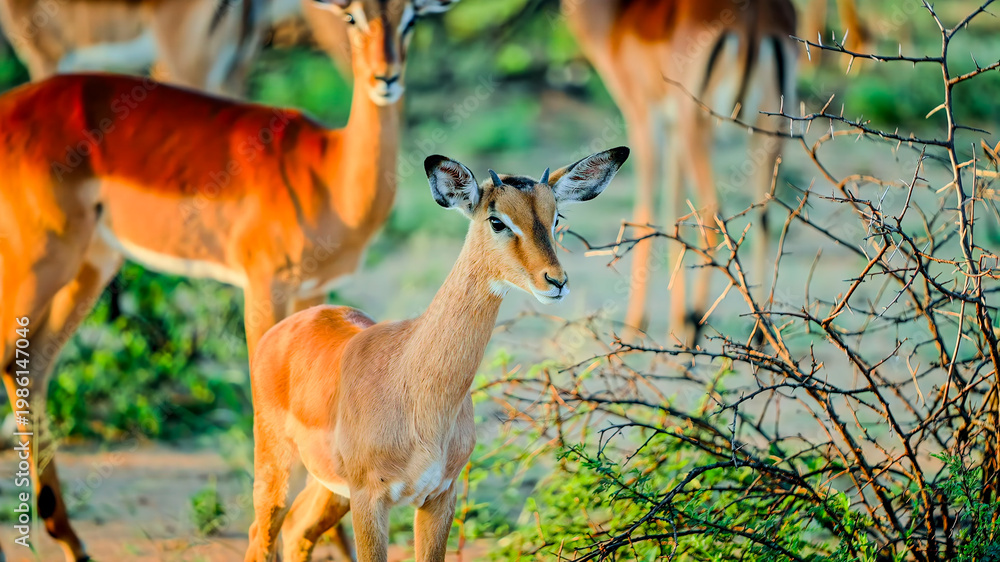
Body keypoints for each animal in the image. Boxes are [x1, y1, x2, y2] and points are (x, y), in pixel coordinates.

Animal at [0, 1, 454, 559]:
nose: (384, 77)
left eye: (412, 17)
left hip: (91, 262)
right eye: (352, 16)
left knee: (34, 362)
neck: (330, 174)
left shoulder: (314, 292)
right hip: (42, 254)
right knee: (12, 357)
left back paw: (70, 538)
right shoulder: (264, 286)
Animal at [245, 147, 630, 562]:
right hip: (279, 471)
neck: (415, 386)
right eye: (497, 221)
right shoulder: (370, 500)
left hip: (330, 487)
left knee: (298, 530)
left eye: (556, 217)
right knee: (260, 534)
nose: (556, 281)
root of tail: (289, 326)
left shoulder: (440, 496)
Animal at [562, 0, 798, 339]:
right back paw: (759, 335)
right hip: (770, 129)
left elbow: (645, 209)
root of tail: (756, 15)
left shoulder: (643, 118)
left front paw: (636, 325)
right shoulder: (671, 129)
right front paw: (675, 320)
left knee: (712, 213)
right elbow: (675, 211)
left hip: (698, 127)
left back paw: (695, 331)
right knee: (765, 217)